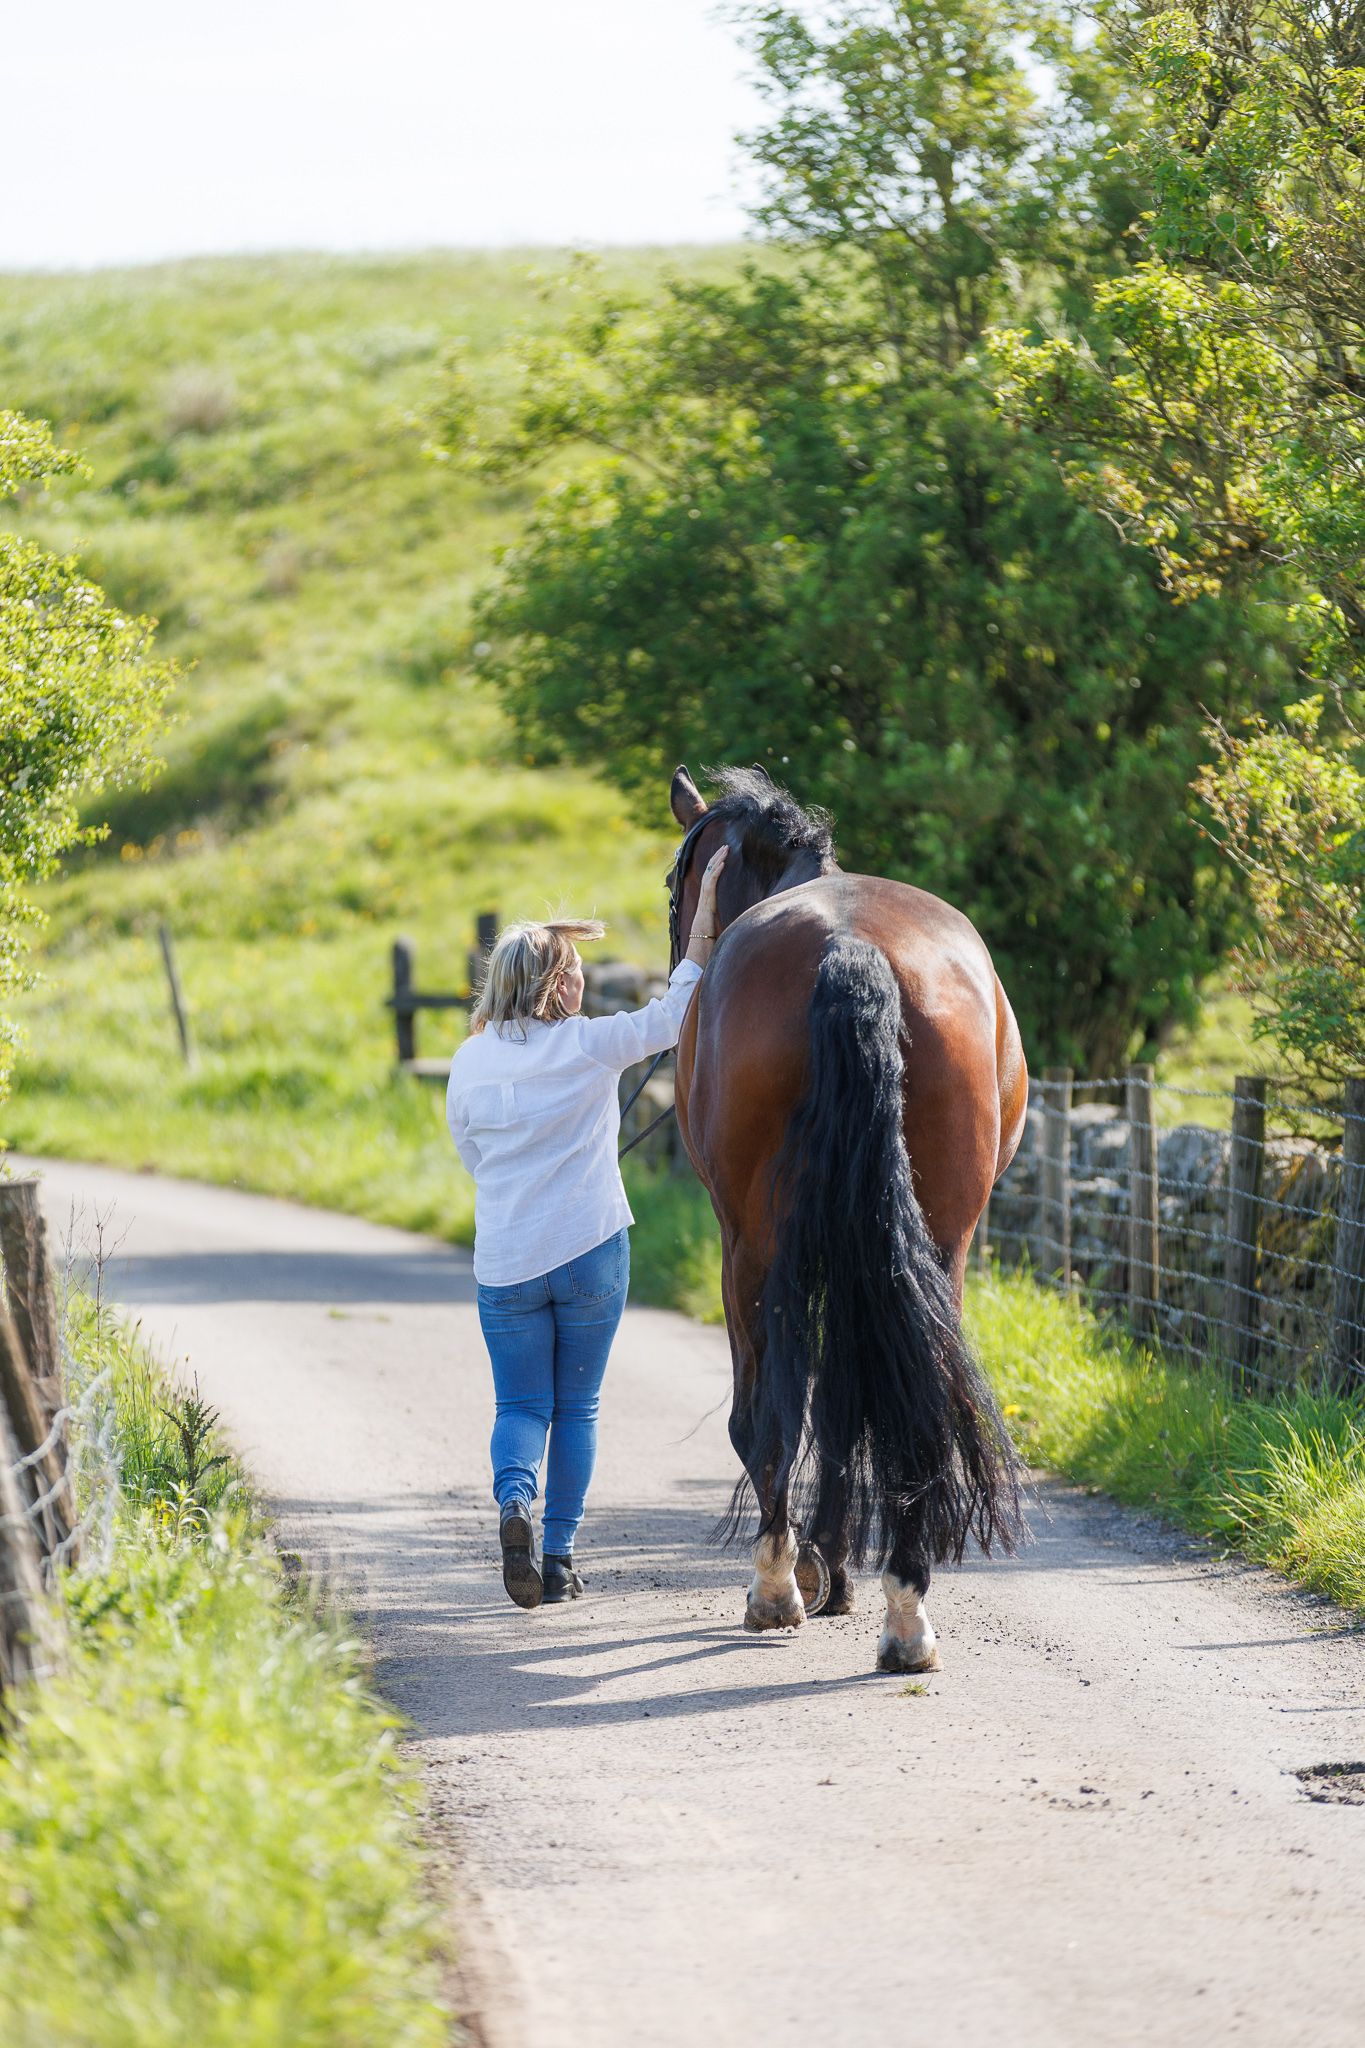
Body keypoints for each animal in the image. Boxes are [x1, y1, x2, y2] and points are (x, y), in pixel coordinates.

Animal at [668, 763, 1028, 1671]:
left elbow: (790, 1410)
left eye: (676, 881)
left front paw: (812, 1570)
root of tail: (850, 950)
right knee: (912, 1398)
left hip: (752, 1253)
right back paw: (905, 1611)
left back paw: (776, 1588)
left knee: (769, 1417)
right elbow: (845, 1405)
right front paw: (837, 1567)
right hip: (938, 1246)